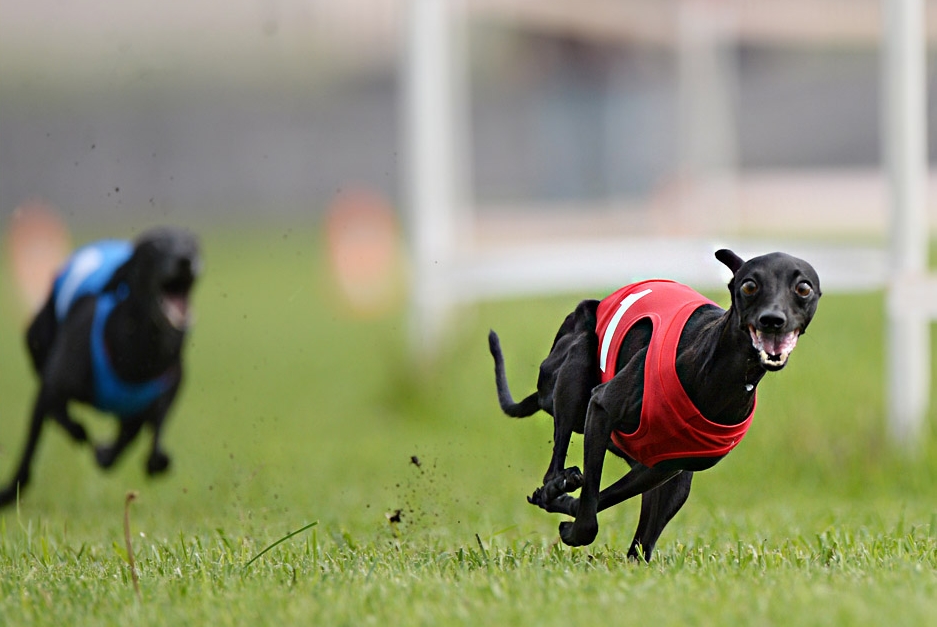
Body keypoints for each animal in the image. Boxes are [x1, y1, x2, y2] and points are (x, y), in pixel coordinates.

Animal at [0, 228, 199, 508]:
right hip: (36, 339)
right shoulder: (51, 386)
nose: (185, 260)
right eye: (154, 247)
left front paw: (144, 457)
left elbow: (152, 433)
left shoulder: (171, 384)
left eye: (194, 245)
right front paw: (9, 492)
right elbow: (43, 429)